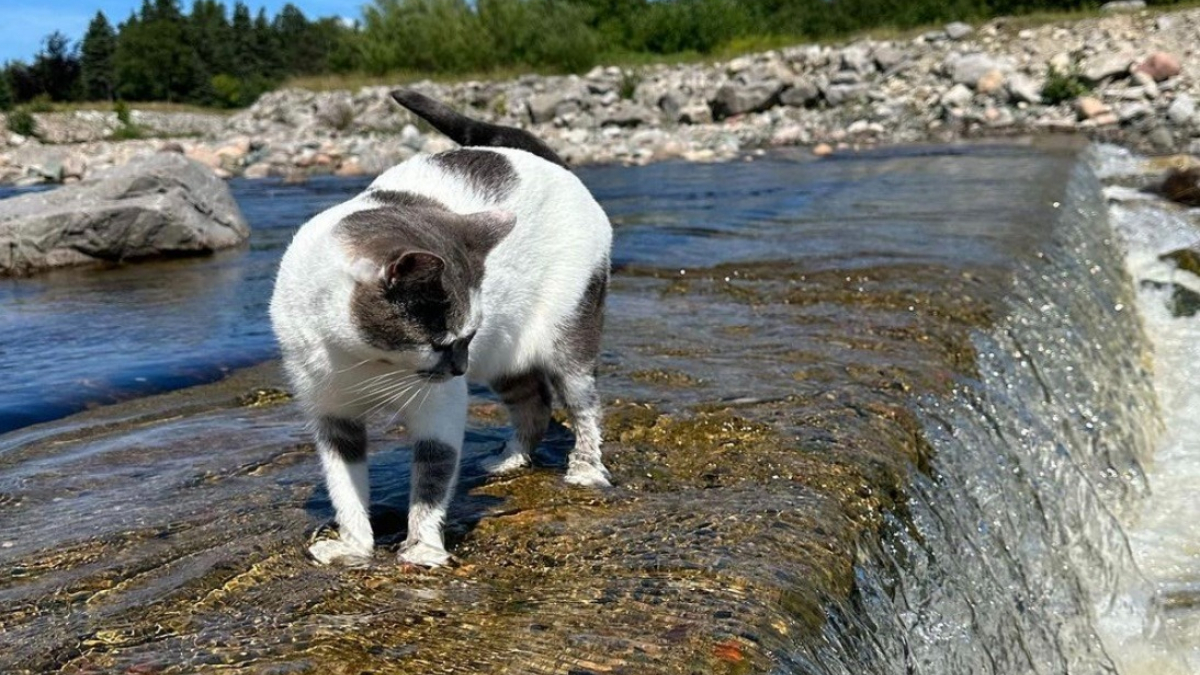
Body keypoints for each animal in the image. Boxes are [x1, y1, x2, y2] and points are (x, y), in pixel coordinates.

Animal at [268, 86, 614, 564]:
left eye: (463, 338)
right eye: (441, 342)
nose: (460, 368)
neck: (365, 359)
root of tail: (549, 160)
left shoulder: (440, 407)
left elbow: (432, 475)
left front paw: (422, 548)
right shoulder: (331, 411)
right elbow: (344, 486)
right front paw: (355, 546)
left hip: (570, 333)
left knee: (583, 404)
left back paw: (585, 469)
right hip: (503, 358)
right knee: (534, 402)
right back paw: (511, 458)